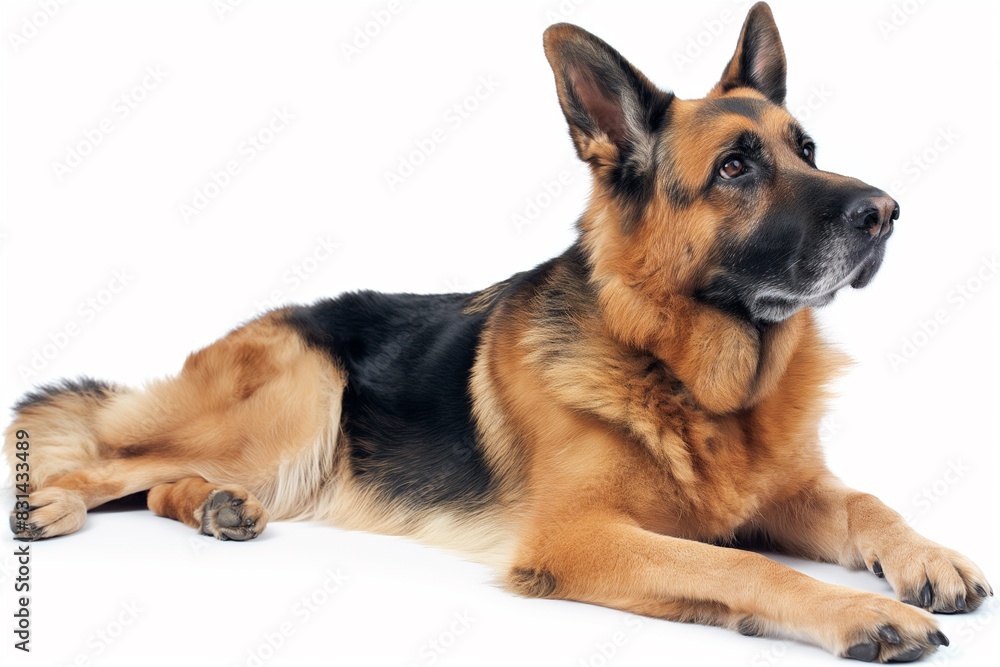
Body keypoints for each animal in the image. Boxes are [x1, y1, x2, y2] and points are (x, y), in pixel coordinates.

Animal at [5, 2, 992, 664]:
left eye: (808, 150)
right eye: (736, 168)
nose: (887, 212)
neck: (678, 371)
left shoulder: (790, 490)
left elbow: (868, 503)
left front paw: (929, 555)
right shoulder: (579, 537)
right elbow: (747, 571)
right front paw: (860, 610)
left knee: (163, 479)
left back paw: (216, 506)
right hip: (299, 402)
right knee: (106, 456)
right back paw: (48, 501)